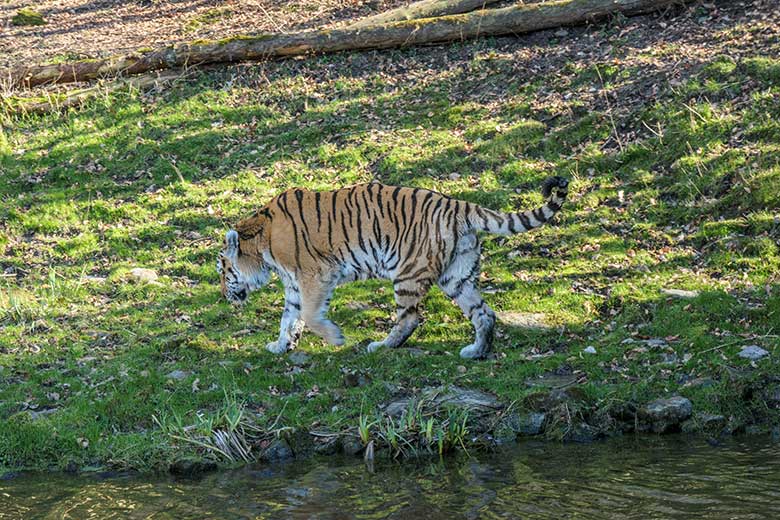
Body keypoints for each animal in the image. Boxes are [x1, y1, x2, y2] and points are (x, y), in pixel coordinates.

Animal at [216, 177, 568, 360]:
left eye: (222, 270)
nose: (223, 295)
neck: (262, 245)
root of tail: (458, 204)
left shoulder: (315, 275)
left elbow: (311, 315)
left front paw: (336, 338)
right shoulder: (293, 284)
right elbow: (289, 317)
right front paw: (280, 345)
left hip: (407, 273)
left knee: (410, 318)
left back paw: (382, 346)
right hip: (457, 276)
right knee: (485, 314)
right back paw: (475, 352)